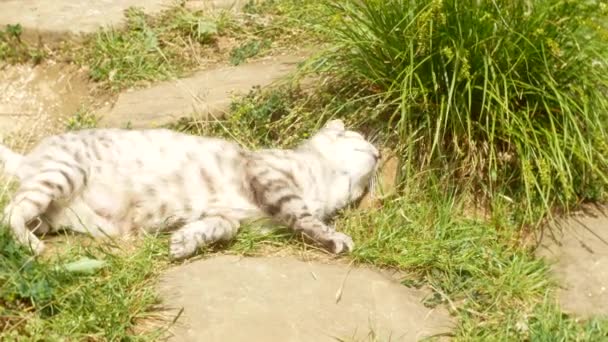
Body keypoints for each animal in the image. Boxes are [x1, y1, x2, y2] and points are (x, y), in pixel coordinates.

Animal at [0, 120, 378, 260]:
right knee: (10, 212)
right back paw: (30, 246)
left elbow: (216, 228)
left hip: (54, 211)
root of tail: (29, 157)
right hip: (63, 173)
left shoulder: (229, 217)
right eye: (360, 139)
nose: (380, 152)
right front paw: (335, 238)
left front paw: (183, 243)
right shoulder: (269, 177)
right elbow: (304, 217)